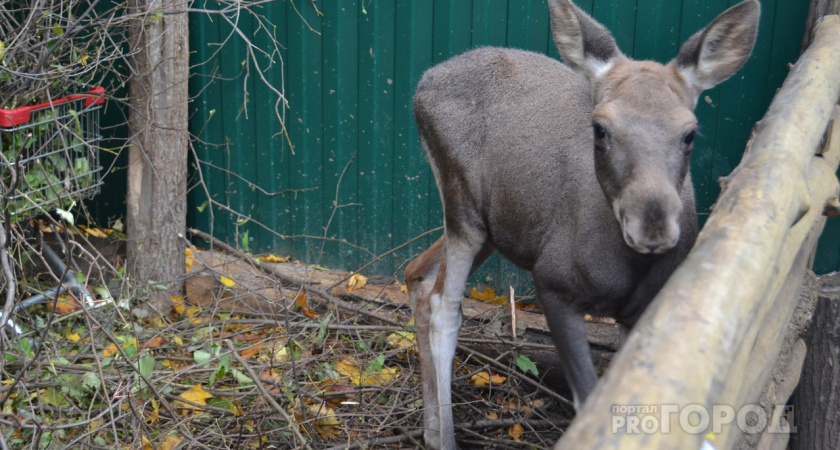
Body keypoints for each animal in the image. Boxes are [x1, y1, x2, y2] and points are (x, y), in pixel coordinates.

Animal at [404, 1, 764, 448]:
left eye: (690, 133)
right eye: (601, 129)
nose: (653, 227)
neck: (623, 268)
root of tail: (423, 85)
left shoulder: (643, 311)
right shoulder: (553, 284)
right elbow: (590, 403)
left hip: (495, 226)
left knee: (417, 274)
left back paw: (430, 429)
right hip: (462, 209)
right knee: (444, 307)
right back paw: (445, 436)